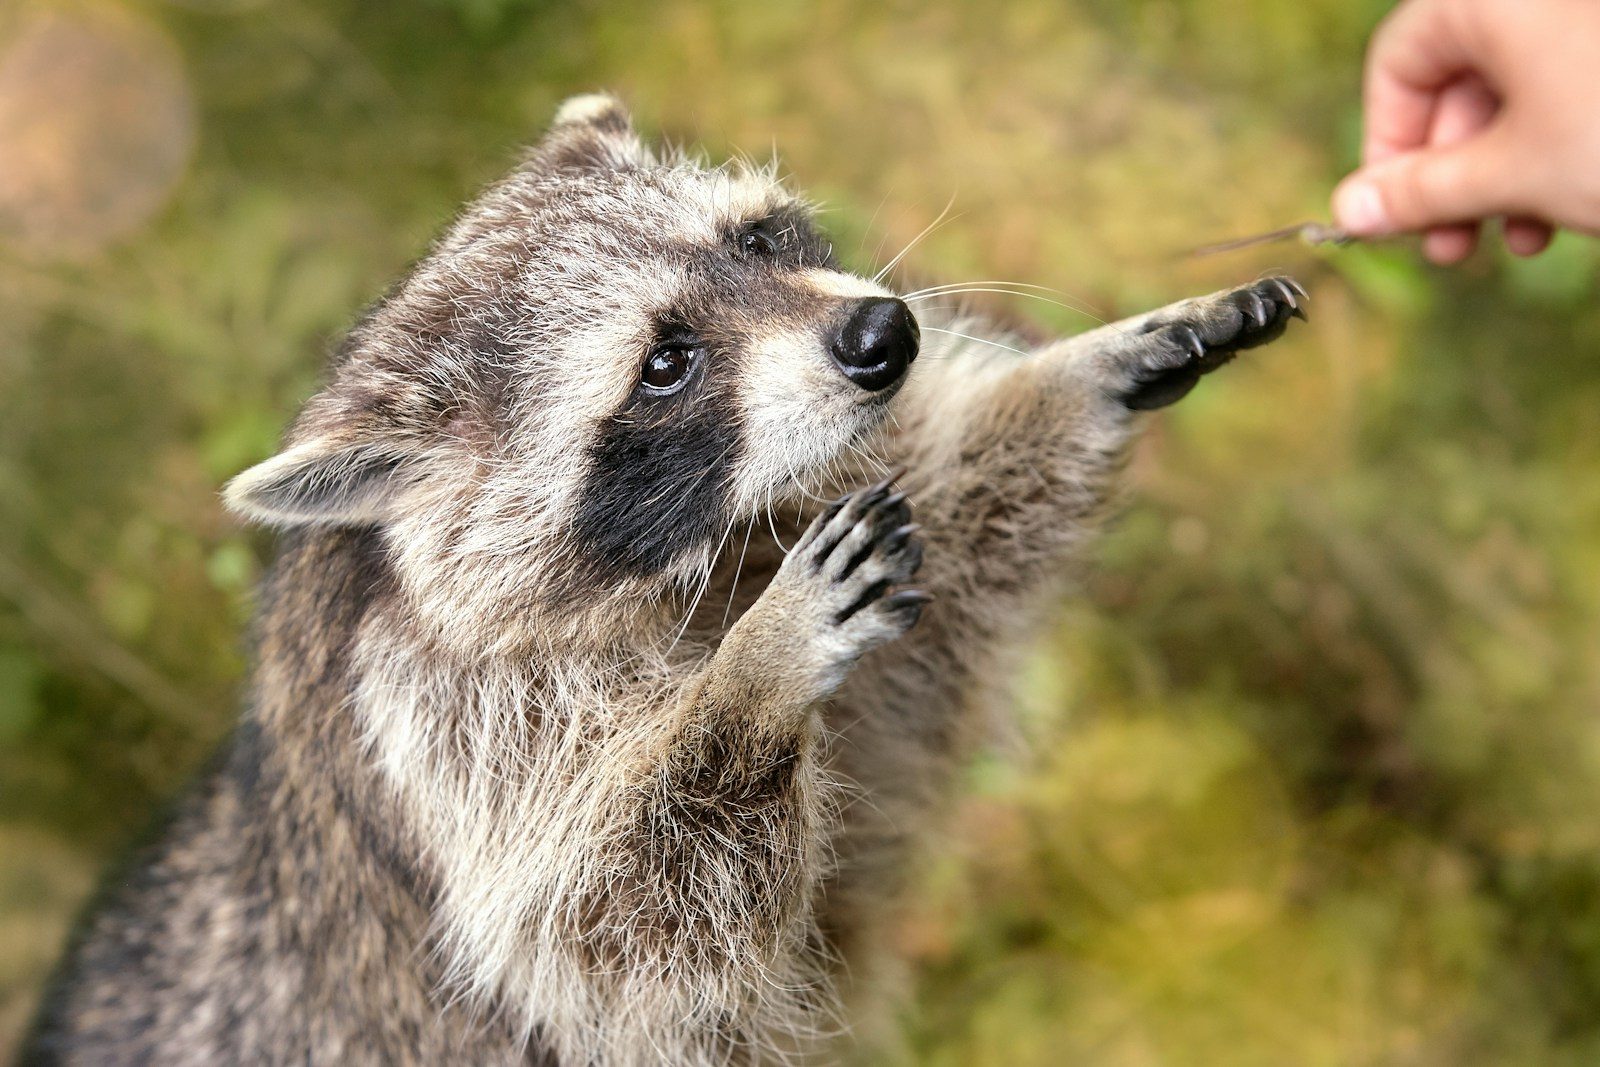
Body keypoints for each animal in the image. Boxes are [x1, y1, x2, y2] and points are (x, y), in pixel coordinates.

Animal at [23, 95, 1306, 1066]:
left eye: (756, 241)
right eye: (664, 363)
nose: (884, 335)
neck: (706, 557)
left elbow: (930, 625)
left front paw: (1076, 374)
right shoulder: (436, 718)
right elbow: (615, 926)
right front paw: (752, 678)